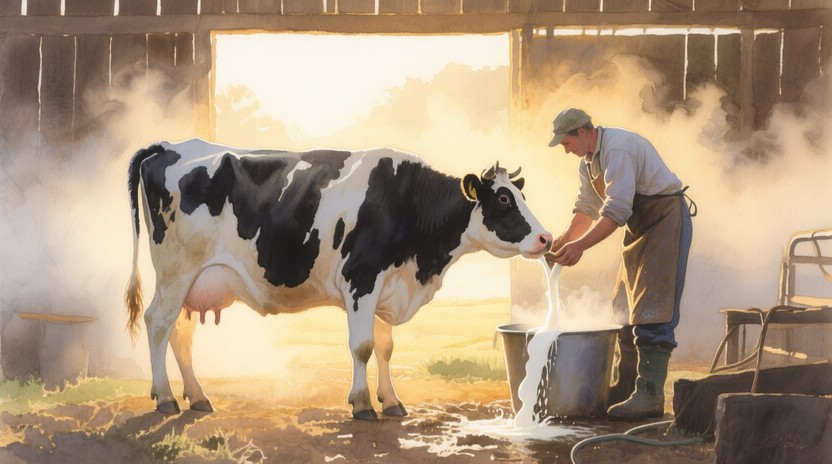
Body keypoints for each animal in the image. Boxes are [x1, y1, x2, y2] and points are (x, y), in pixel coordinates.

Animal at [124, 138, 552, 420]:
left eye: (519, 195)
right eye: (503, 199)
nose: (546, 238)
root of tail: (168, 146)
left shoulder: (386, 285)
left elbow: (385, 347)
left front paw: (391, 401)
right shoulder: (362, 278)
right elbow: (362, 347)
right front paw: (362, 404)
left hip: (193, 281)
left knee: (179, 334)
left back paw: (196, 396)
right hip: (176, 271)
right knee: (157, 324)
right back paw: (165, 398)